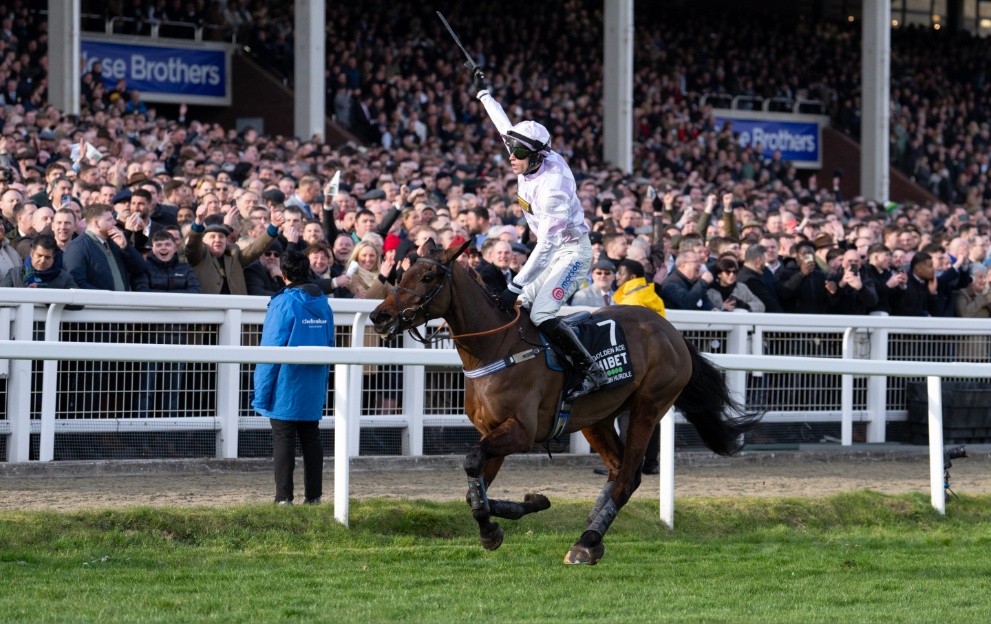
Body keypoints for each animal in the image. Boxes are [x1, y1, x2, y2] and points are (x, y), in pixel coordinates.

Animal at [368, 240, 764, 564]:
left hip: (649, 406)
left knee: (627, 478)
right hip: (596, 419)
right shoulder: (492, 430)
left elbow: (471, 463)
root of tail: (673, 333)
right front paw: (521, 510)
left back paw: (586, 542)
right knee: (617, 470)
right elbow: (473, 487)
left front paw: (494, 527)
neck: (495, 348)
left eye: (427, 276)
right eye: (402, 273)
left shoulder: (521, 432)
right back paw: (593, 531)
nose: (379, 316)